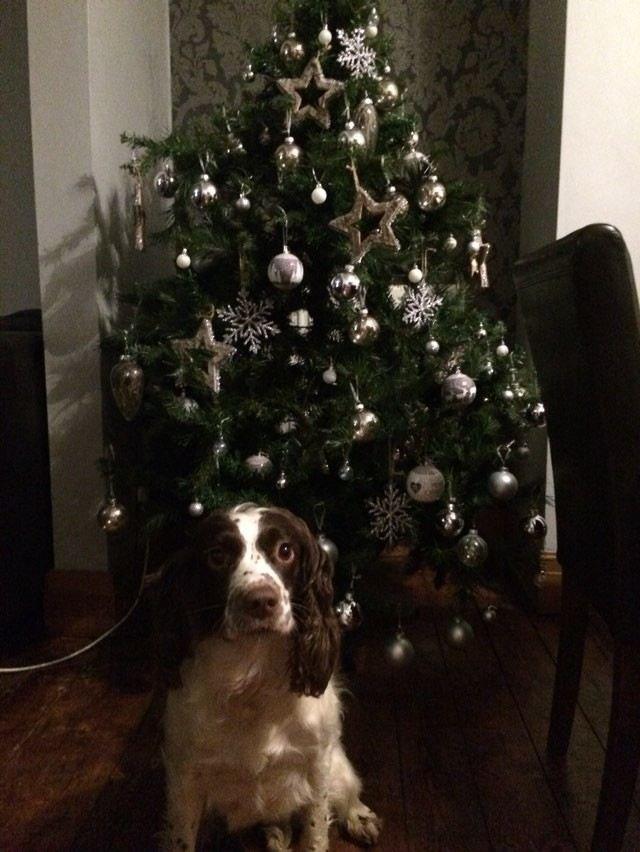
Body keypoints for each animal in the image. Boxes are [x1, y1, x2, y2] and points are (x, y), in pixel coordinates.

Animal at [155, 502, 380, 848]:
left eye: (285, 550)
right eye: (217, 555)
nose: (260, 601)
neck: (252, 680)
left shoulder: (317, 764)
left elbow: (315, 832)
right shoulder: (184, 776)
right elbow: (182, 838)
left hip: (337, 763)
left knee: (348, 789)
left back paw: (358, 816)